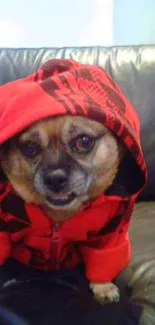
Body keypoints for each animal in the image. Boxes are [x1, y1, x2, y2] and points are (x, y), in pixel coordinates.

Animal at [0, 115, 124, 302]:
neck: (59, 216)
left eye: (83, 141)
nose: (55, 179)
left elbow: (103, 256)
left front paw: (102, 286)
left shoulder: (110, 232)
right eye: (29, 147)